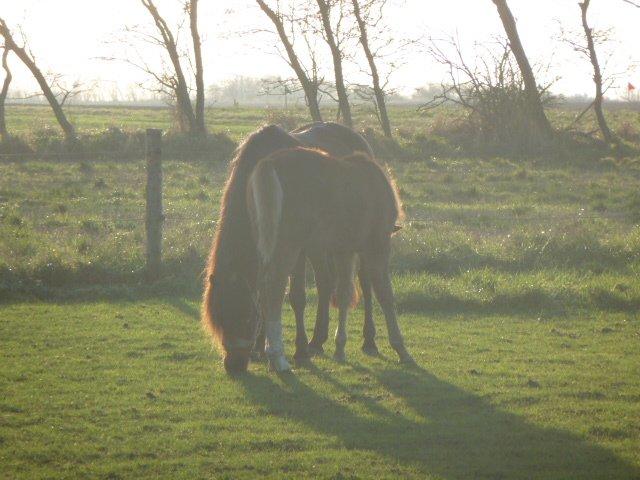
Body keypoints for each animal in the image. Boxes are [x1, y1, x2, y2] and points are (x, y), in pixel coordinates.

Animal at [202, 126, 414, 373]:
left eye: (244, 316)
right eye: (220, 316)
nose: (233, 365)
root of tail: (268, 164)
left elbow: (304, 296)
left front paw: (299, 349)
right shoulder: (370, 245)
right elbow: (382, 293)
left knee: (342, 285)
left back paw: (360, 341)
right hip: (305, 247)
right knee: (294, 286)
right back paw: (292, 352)